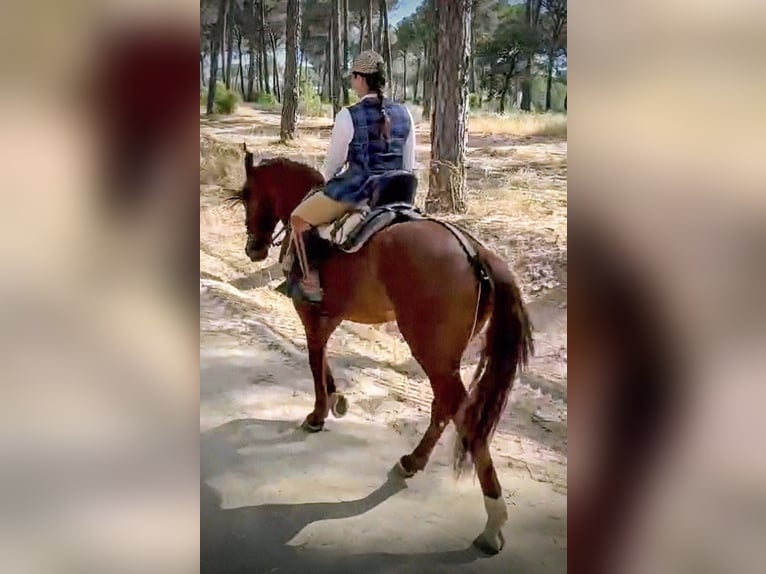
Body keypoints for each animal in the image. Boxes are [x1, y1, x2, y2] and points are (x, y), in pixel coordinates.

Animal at [229, 149, 534, 555]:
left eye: (249, 195)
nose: (253, 249)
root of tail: (474, 251)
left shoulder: (309, 312)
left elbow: (314, 359)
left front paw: (318, 414)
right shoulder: (330, 315)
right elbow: (322, 358)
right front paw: (337, 400)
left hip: (431, 353)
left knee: (463, 416)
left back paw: (492, 523)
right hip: (444, 357)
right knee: (444, 407)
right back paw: (412, 461)